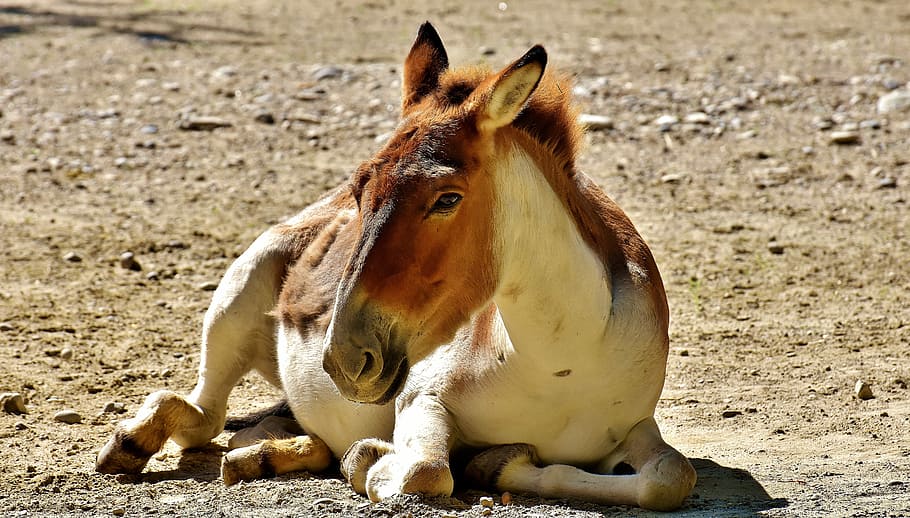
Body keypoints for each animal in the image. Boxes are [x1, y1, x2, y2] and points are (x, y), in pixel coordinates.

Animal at [95, 22, 697, 511]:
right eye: (360, 188)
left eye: (448, 198)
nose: (343, 360)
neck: (560, 365)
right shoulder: (420, 399)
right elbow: (426, 471)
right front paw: (374, 460)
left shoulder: (637, 427)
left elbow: (670, 477)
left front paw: (492, 463)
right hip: (237, 295)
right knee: (203, 413)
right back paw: (133, 443)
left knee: (268, 428)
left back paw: (265, 454)